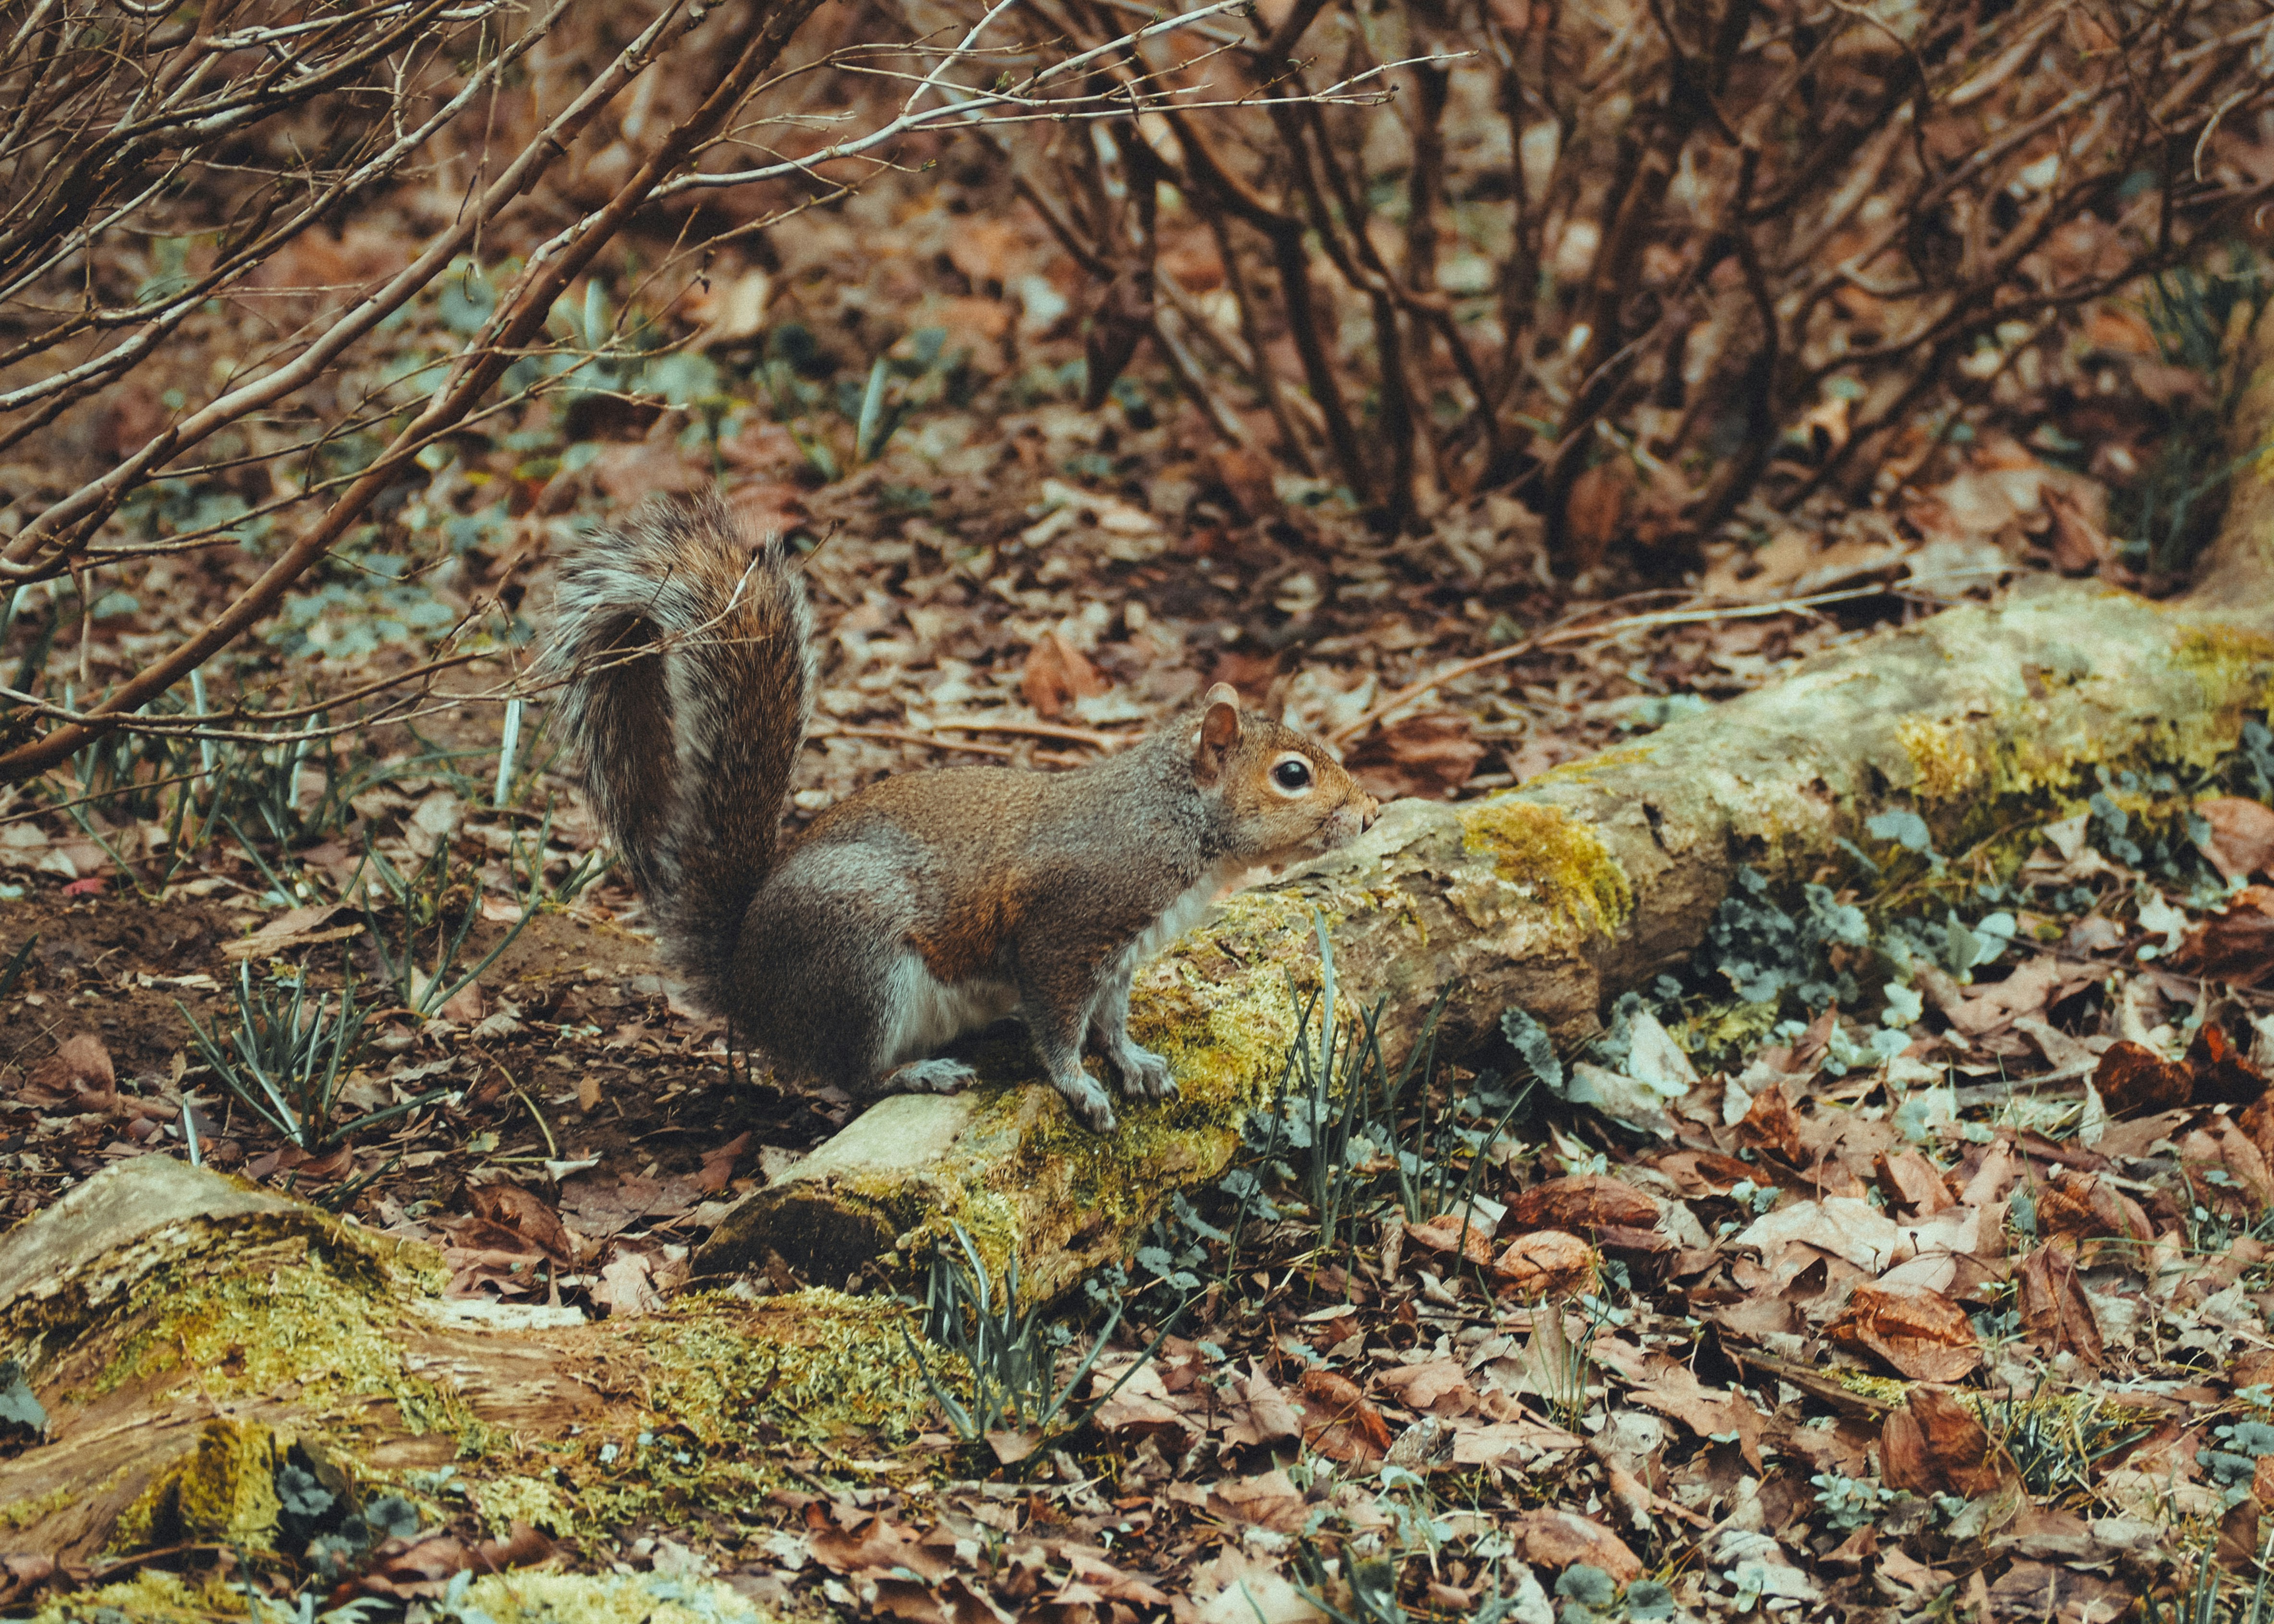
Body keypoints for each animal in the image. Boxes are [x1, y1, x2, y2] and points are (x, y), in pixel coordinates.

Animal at [544, 492, 1379, 1133]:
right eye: (1292, 775)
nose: (1369, 813)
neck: (1173, 822)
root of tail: (746, 982)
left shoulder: (1116, 956)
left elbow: (1109, 1019)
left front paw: (1133, 1060)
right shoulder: (1064, 928)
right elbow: (1059, 1025)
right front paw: (1078, 1087)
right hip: (861, 963)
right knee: (852, 1075)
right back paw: (919, 1074)